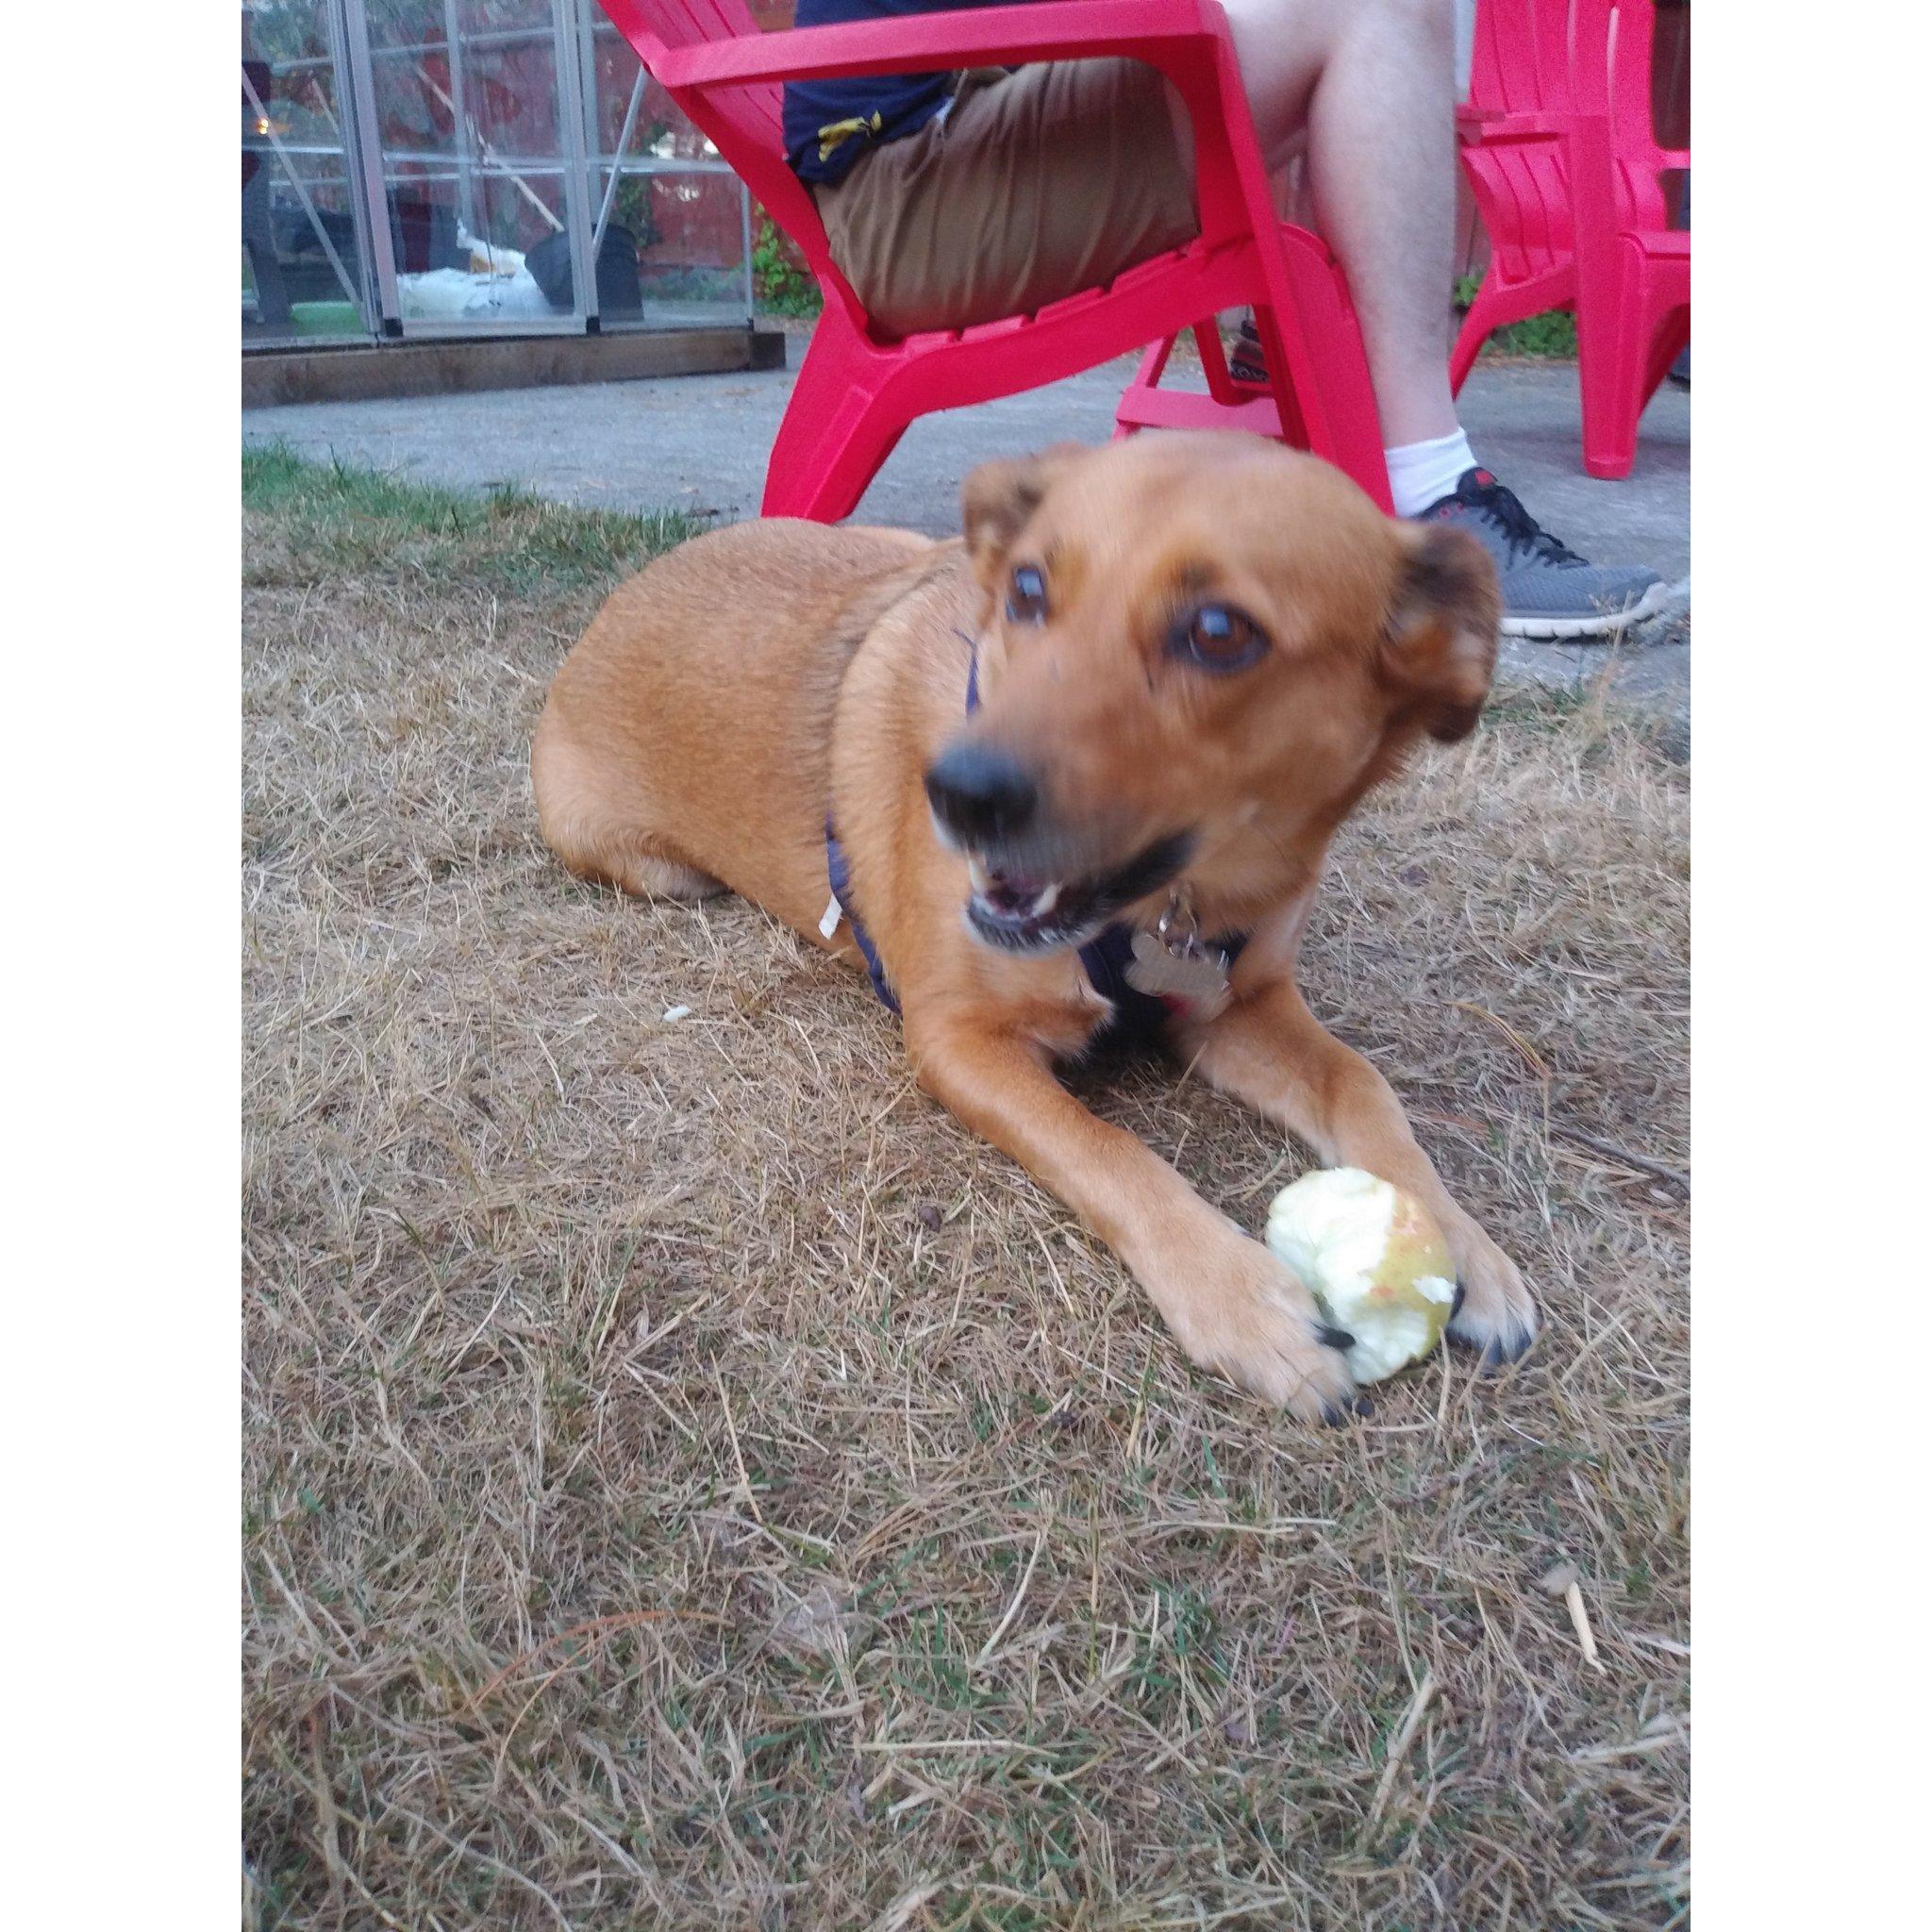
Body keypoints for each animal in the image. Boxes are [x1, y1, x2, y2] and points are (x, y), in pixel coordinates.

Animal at [537, 441, 1530, 1437]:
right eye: (1026, 589)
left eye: (1219, 631)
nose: (957, 793)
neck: (1163, 910)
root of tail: (619, 600)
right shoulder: (956, 1041)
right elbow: (1110, 1150)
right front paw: (1243, 1301)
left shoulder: (1238, 1004)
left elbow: (1363, 1087)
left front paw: (1463, 1243)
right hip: (659, 866)